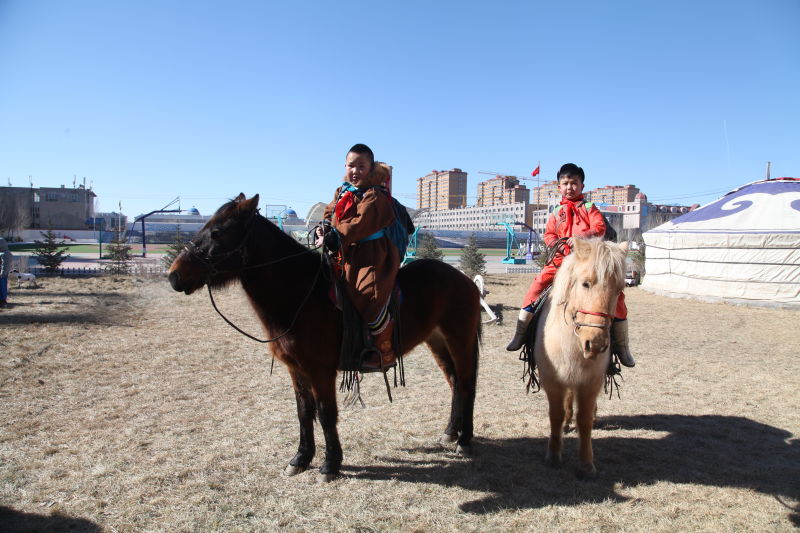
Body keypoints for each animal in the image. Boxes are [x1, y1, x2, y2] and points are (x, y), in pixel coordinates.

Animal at [167, 193, 482, 480]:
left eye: (217, 232)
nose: (174, 276)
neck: (302, 294)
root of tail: (463, 279)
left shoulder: (320, 371)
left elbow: (326, 413)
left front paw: (330, 464)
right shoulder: (296, 370)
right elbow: (304, 412)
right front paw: (300, 459)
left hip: (460, 340)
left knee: (466, 384)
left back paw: (465, 441)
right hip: (437, 341)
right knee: (454, 382)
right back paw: (450, 433)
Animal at [536, 235, 628, 476]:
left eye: (619, 289)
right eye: (585, 283)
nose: (595, 344)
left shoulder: (591, 382)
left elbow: (585, 420)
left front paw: (587, 465)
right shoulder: (552, 379)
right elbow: (556, 414)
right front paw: (553, 455)